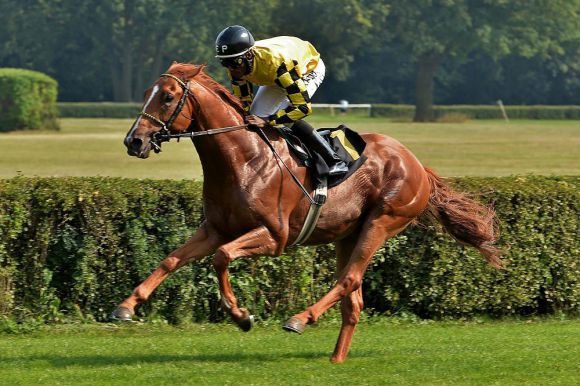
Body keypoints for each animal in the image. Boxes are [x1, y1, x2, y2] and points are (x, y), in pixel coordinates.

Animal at [118, 61, 502, 362]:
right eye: (147, 93)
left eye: (168, 97)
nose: (134, 141)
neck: (243, 160)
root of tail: (419, 165)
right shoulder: (215, 229)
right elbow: (171, 260)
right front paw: (127, 305)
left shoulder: (274, 236)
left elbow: (222, 257)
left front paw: (241, 316)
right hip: (349, 234)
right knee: (353, 300)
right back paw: (336, 359)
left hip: (382, 222)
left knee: (349, 280)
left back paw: (300, 319)